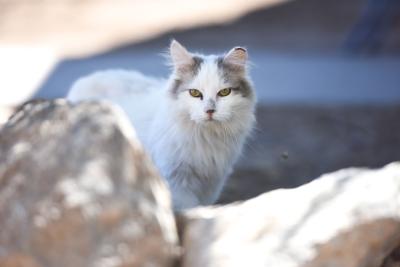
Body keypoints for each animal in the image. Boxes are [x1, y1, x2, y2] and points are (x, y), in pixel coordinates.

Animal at [67, 40, 256, 211]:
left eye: (224, 92)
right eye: (195, 93)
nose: (209, 111)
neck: (207, 137)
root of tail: (84, 80)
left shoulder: (212, 182)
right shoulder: (176, 179)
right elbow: (188, 208)